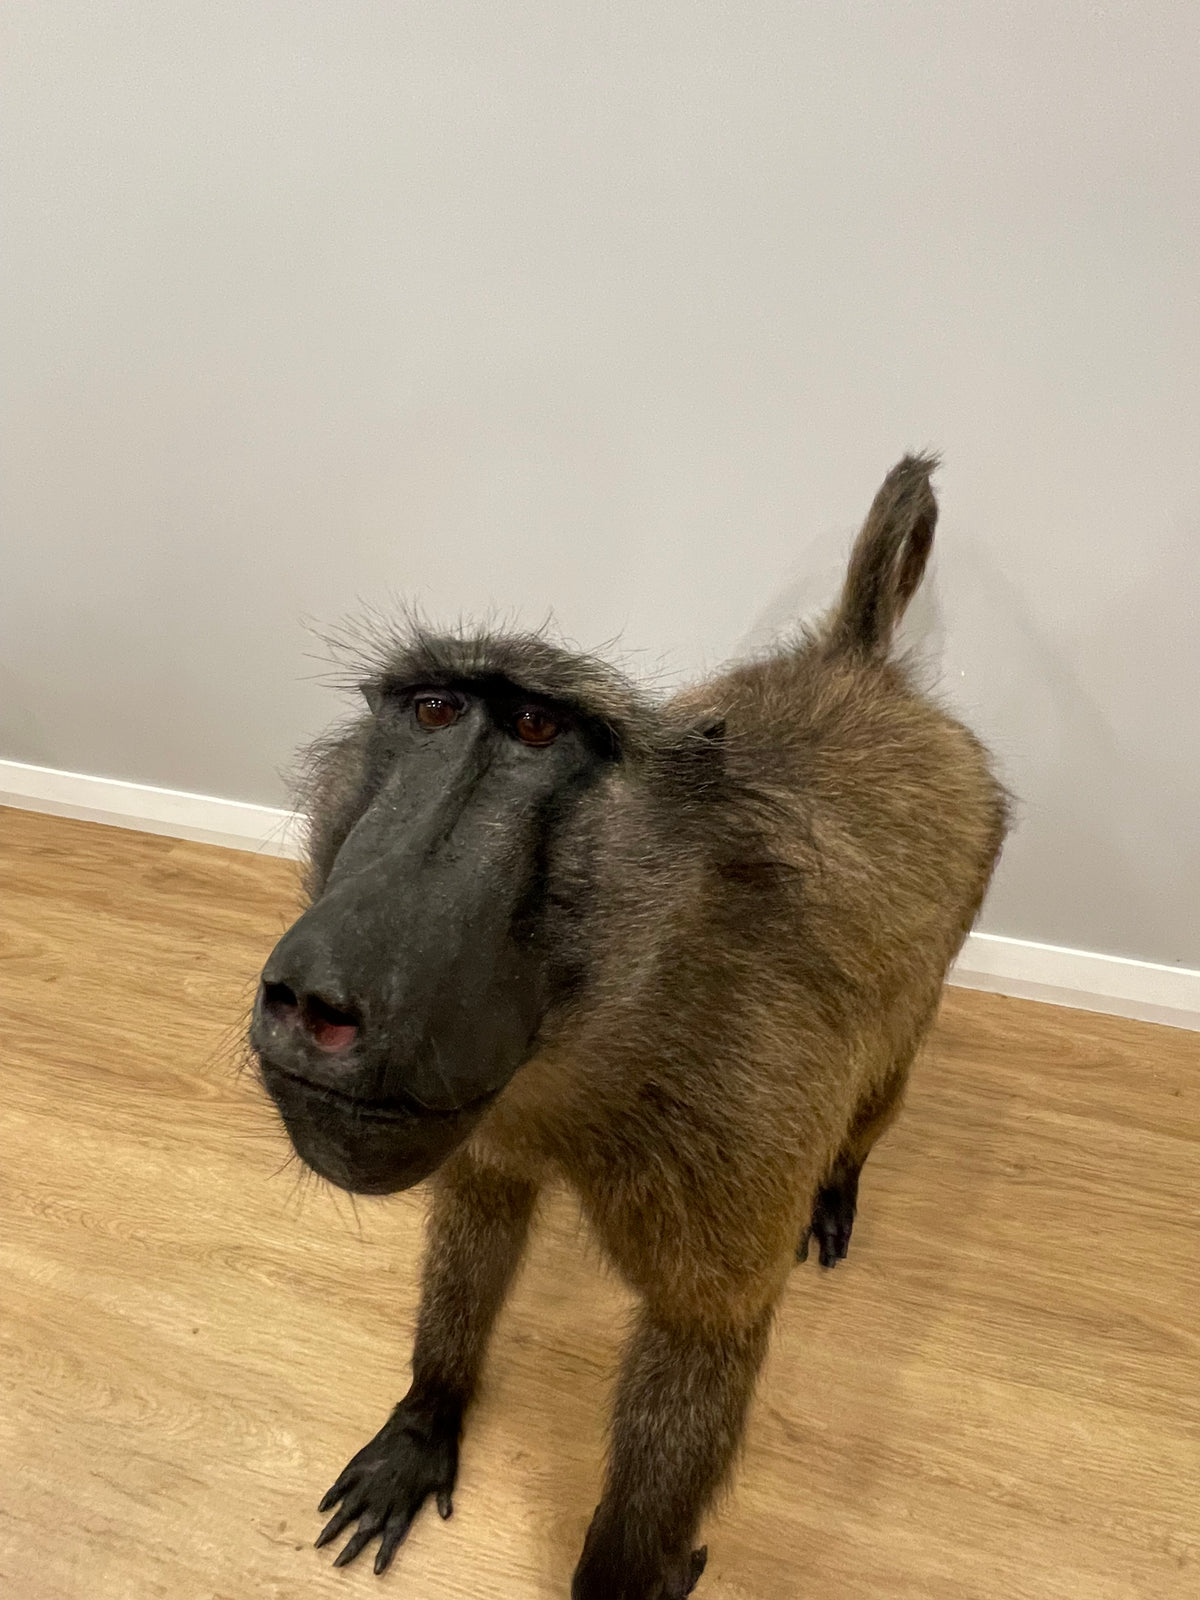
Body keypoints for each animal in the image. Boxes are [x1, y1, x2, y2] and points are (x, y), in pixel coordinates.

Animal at [249, 454, 1008, 1599]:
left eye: (536, 730)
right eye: (434, 710)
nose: (324, 1004)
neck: (612, 1020)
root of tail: (861, 674)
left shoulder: (740, 1125)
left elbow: (703, 1335)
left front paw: (631, 1570)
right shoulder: (497, 1115)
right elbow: (484, 1201)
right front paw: (426, 1418)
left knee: (881, 1085)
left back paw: (842, 1180)